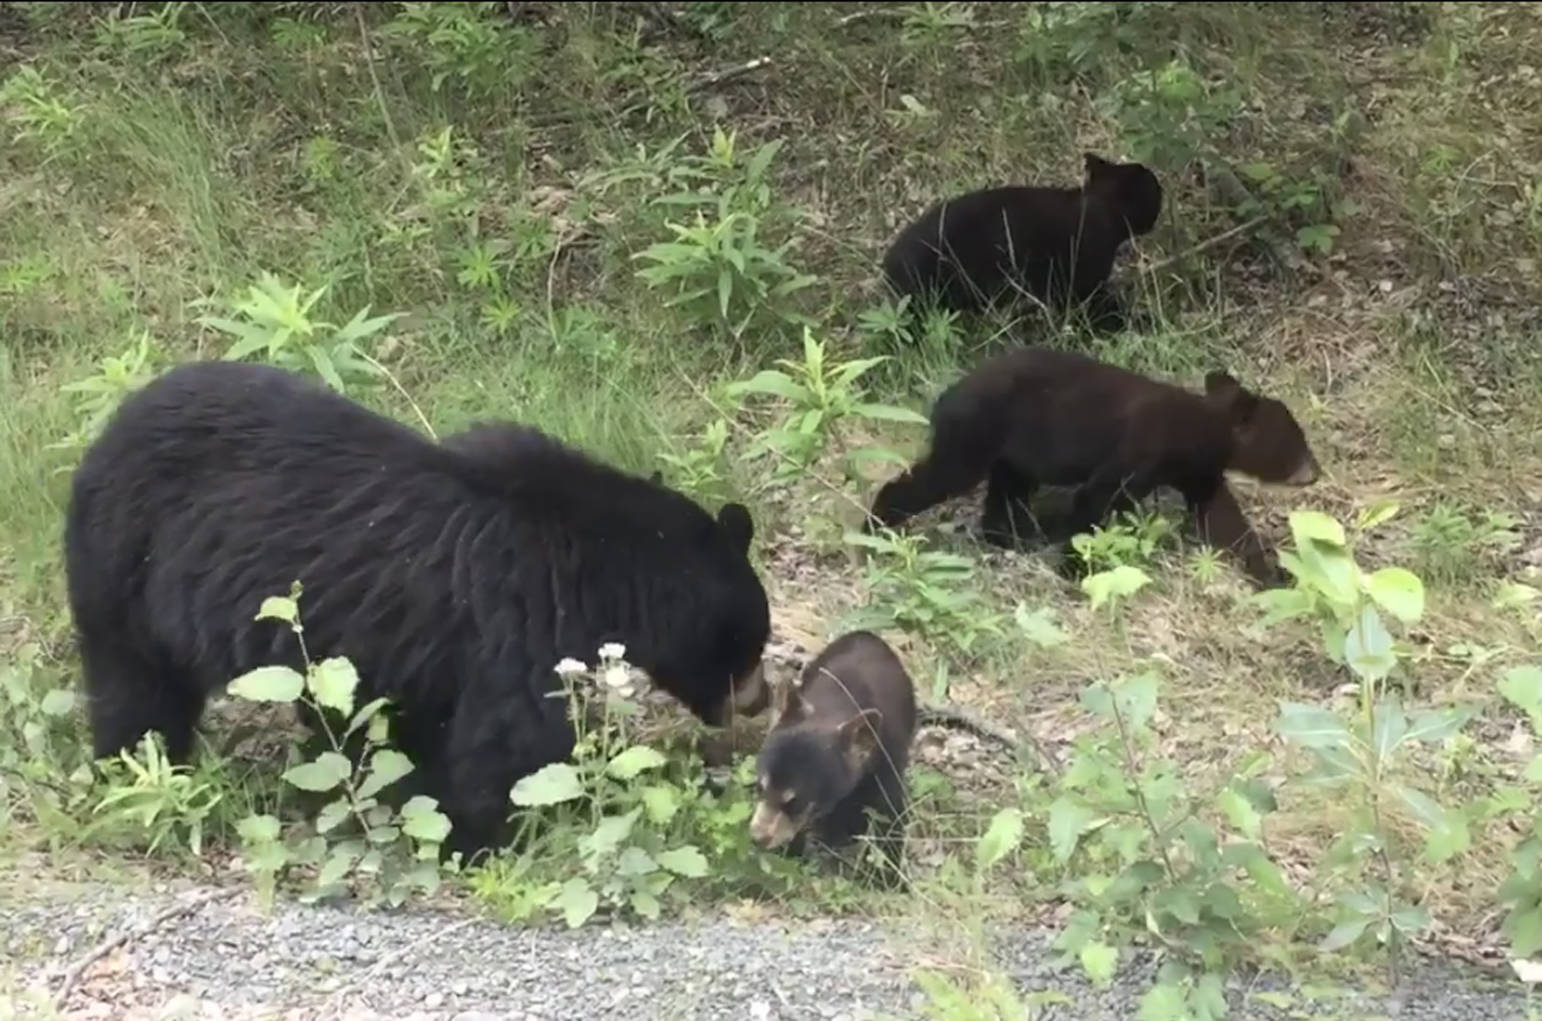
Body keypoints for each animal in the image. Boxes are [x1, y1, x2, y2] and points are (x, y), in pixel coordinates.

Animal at [67, 359, 777, 857]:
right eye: (753, 645)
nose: (762, 699)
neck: (604, 564)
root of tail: (100, 442)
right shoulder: (520, 617)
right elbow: (509, 744)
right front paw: (491, 838)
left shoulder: (414, 651)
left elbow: (408, 731)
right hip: (126, 571)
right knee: (138, 692)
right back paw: (140, 769)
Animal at [746, 632, 912, 888]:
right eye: (759, 788)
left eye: (797, 802)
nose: (757, 838)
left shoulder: (888, 770)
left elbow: (890, 821)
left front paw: (888, 879)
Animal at [869, 348, 1326, 589]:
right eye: (1297, 442)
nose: (1315, 471)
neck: (1198, 432)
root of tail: (945, 397)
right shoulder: (1143, 449)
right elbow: (1097, 496)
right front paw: (1078, 567)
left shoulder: (1197, 471)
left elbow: (1223, 517)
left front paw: (1273, 573)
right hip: (977, 433)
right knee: (942, 476)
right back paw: (877, 526)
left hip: (1012, 451)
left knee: (1006, 491)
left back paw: (1016, 535)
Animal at [882, 154, 1159, 334]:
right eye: (1153, 189)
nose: (1161, 190)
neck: (1100, 206)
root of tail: (888, 262)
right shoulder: (1083, 287)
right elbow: (1106, 312)